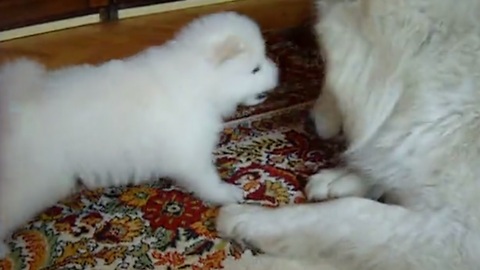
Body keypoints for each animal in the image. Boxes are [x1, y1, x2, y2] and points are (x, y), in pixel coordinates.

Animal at [0, 11, 278, 256]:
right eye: (255, 69)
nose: (278, 73)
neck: (199, 81)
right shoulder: (190, 151)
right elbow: (207, 179)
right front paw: (226, 193)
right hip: (35, 180)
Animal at [217, 0, 480, 270]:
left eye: (325, 61)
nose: (308, 122)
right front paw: (343, 178)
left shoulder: (455, 234)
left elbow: (346, 213)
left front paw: (249, 220)